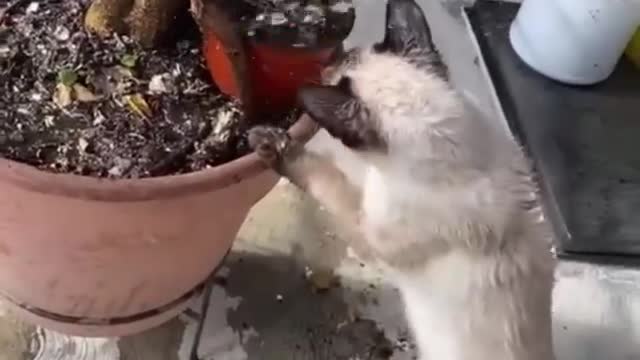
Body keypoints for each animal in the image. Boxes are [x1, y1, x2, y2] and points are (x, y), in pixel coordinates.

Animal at [248, 0, 556, 360]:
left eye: (333, 74)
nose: (323, 69)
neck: (455, 150)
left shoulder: (367, 229)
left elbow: (325, 176)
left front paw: (272, 145)